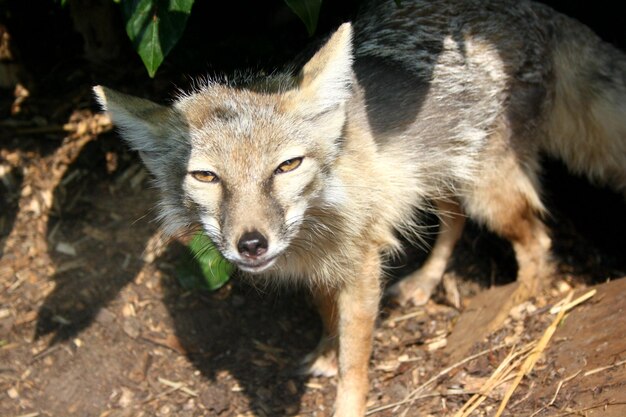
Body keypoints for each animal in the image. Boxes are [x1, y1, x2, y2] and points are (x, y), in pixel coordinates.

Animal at [92, 1, 624, 414]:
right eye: (206, 176)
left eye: (287, 166)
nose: (251, 245)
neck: (317, 226)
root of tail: (531, 9)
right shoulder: (324, 269)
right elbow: (330, 319)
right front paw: (327, 351)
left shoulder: (363, 267)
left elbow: (356, 362)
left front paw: (346, 393)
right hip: (434, 180)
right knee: (454, 221)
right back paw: (426, 283)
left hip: (487, 193)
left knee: (537, 240)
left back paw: (513, 308)